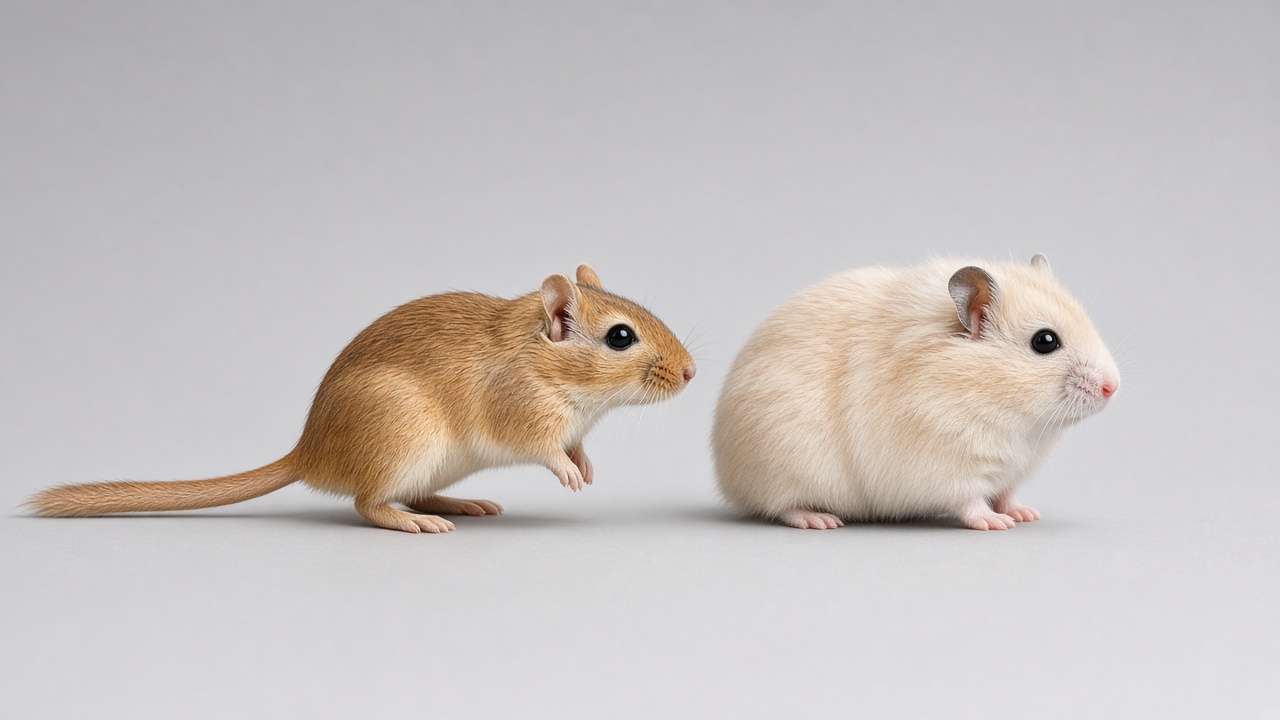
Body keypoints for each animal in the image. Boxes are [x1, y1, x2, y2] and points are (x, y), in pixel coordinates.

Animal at [29, 265, 697, 533]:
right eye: (621, 337)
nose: (693, 372)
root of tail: (306, 454)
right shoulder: (525, 414)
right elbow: (547, 449)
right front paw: (570, 474)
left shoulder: (574, 424)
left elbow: (577, 445)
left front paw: (586, 466)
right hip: (405, 441)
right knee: (367, 504)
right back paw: (417, 521)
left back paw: (460, 503)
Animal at [712, 254, 1118, 531]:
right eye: (1045, 342)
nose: (1113, 387)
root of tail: (726, 474)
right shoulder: (949, 467)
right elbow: (971, 502)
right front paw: (996, 524)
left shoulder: (1012, 470)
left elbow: (1006, 494)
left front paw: (1025, 514)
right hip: (783, 470)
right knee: (780, 506)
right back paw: (821, 520)